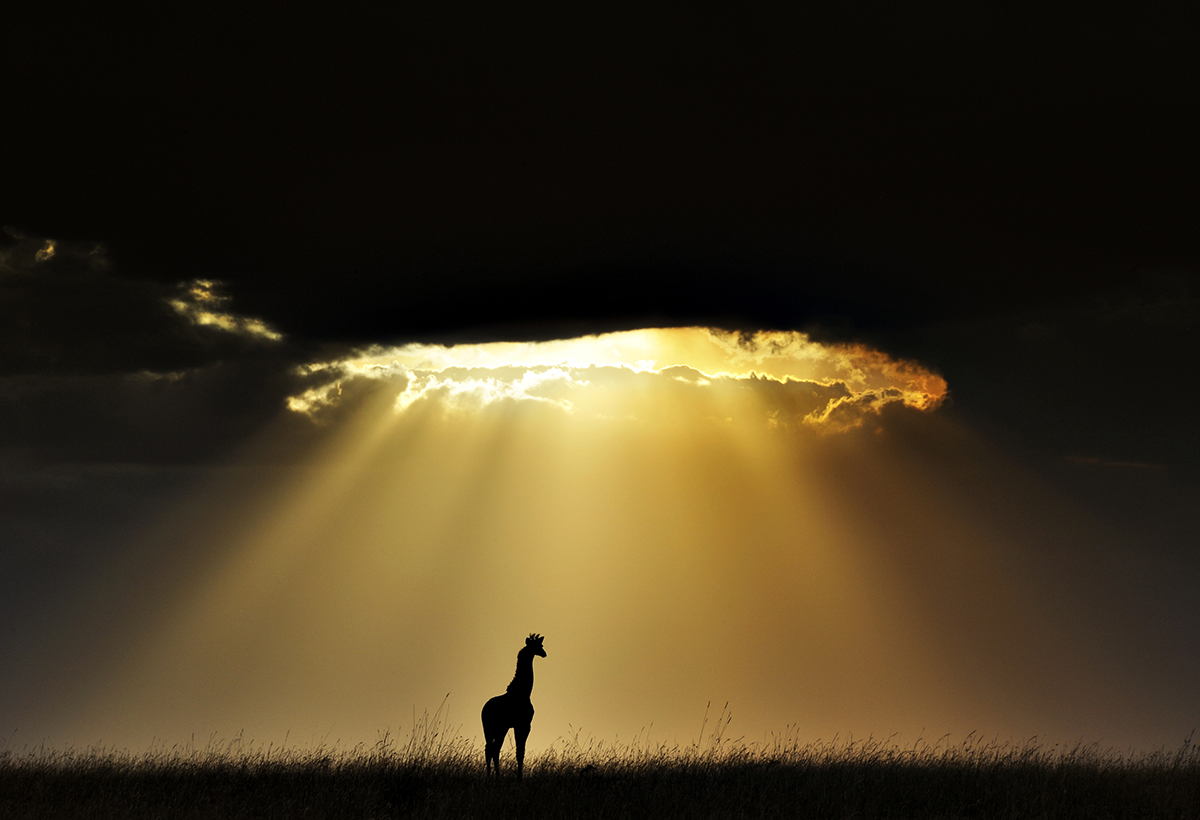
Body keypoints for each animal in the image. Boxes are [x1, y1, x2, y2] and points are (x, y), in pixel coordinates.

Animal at [481, 633, 546, 779]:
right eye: (538, 646)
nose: (544, 653)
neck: (524, 692)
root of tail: (484, 710)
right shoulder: (524, 724)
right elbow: (520, 752)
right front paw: (519, 778)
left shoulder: (516, 725)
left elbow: (519, 751)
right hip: (499, 727)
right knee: (494, 749)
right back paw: (496, 777)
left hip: (490, 728)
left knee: (490, 749)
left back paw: (490, 776)